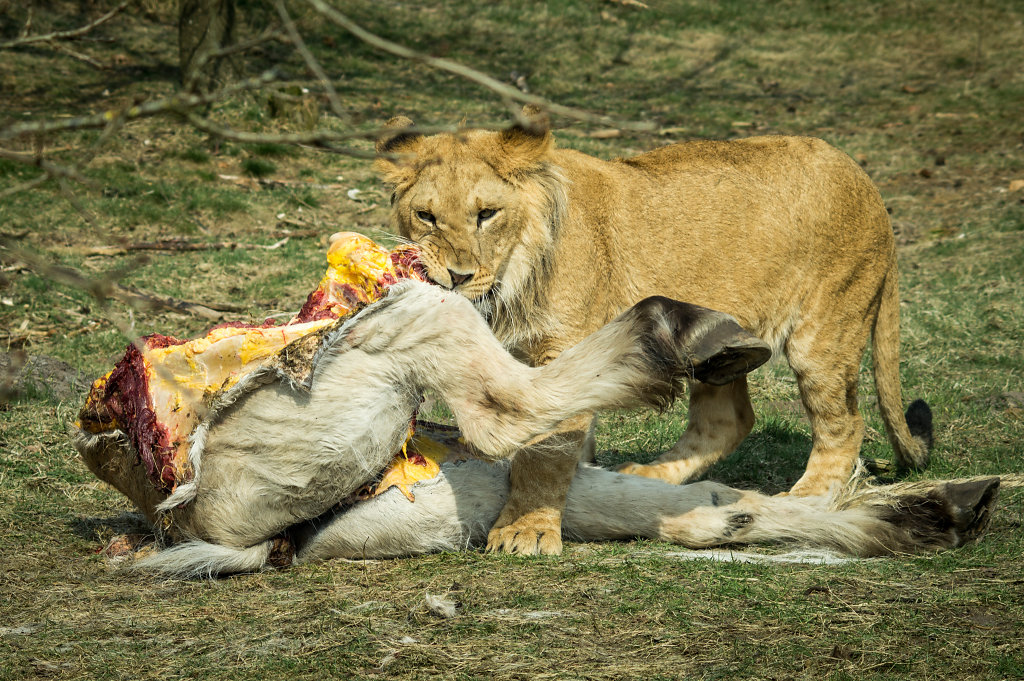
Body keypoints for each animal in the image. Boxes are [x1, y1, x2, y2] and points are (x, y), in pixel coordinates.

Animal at [376, 106, 937, 552]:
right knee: (729, 420)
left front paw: (526, 531)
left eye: (487, 214)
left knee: (844, 424)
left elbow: (546, 451)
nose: (457, 275)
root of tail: (865, 180)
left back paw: (806, 499)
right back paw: (650, 477)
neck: (511, 277)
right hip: (722, 346)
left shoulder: (562, 349)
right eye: (426, 216)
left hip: (824, 331)